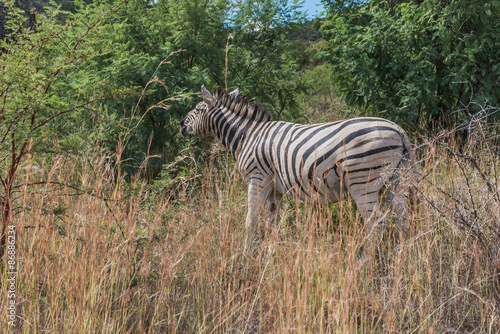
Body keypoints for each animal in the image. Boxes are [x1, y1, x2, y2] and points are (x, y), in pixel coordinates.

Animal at [180, 86, 414, 250]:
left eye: (199, 109)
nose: (181, 125)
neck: (248, 136)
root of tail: (398, 129)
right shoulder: (274, 190)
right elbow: (272, 224)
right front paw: (270, 255)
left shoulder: (257, 180)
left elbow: (251, 221)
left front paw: (246, 256)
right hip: (395, 180)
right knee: (403, 217)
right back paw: (403, 256)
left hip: (362, 181)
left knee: (377, 223)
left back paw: (367, 263)